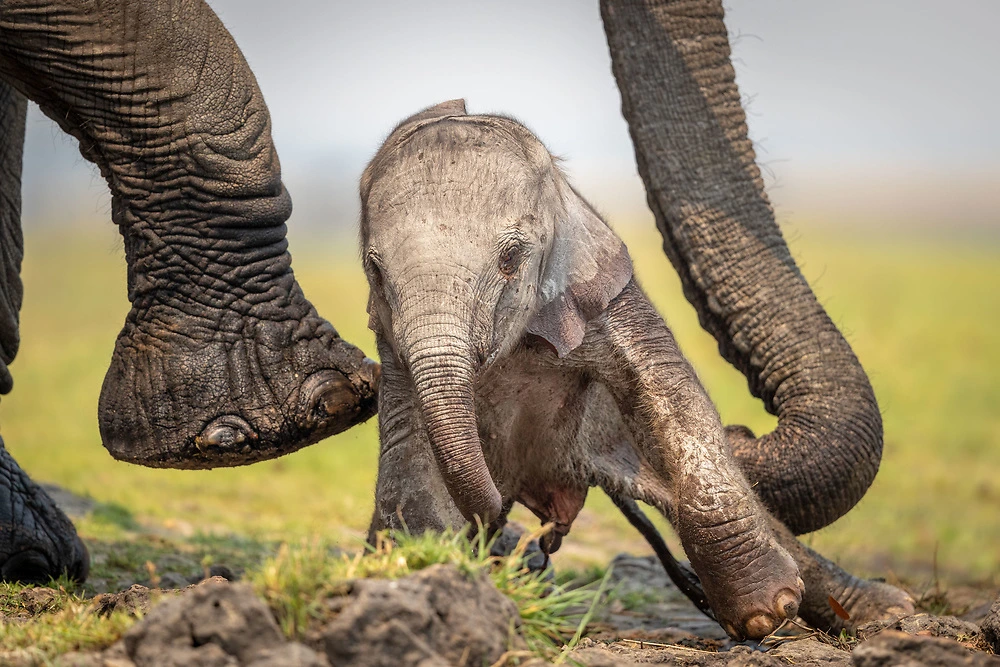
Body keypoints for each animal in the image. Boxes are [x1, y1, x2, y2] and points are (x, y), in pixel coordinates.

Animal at [362, 100, 916, 640]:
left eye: (511, 258)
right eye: (375, 270)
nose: (499, 519)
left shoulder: (607, 295)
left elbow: (671, 396)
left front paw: (766, 612)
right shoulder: (395, 348)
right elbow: (410, 448)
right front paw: (426, 567)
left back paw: (884, 611)